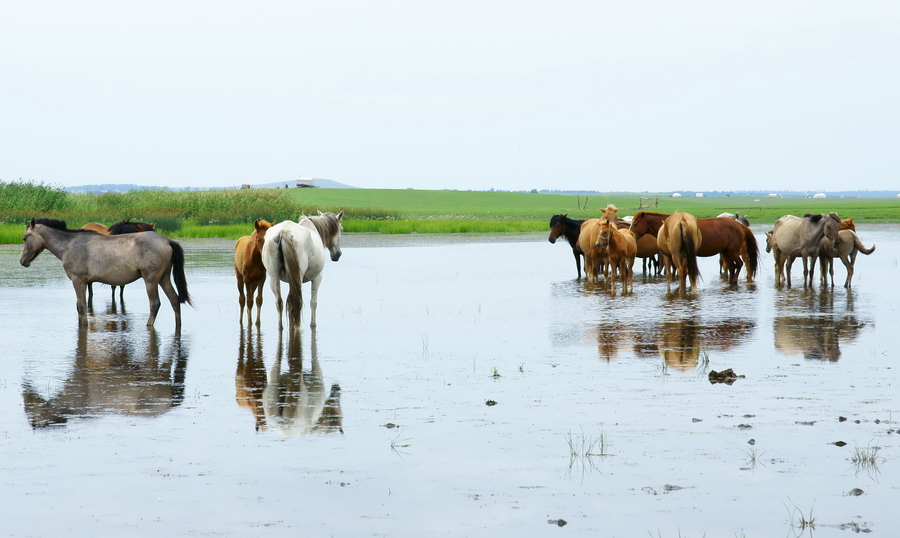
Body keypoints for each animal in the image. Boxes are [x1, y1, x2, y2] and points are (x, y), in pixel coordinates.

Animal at [18, 218, 190, 326]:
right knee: (174, 300)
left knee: (155, 304)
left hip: (151, 279)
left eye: (25, 238)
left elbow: (81, 307)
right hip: (164, 278)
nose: (22, 261)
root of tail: (167, 241)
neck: (70, 245)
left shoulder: (78, 281)